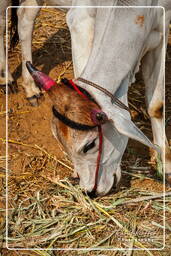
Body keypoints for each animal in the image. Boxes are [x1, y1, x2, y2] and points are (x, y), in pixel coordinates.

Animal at [0, 0, 171, 196]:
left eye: (89, 145)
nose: (90, 192)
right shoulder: (80, 20)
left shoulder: (162, 26)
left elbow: (156, 106)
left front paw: (165, 163)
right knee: (2, 22)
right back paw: (6, 78)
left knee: (25, 16)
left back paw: (30, 87)